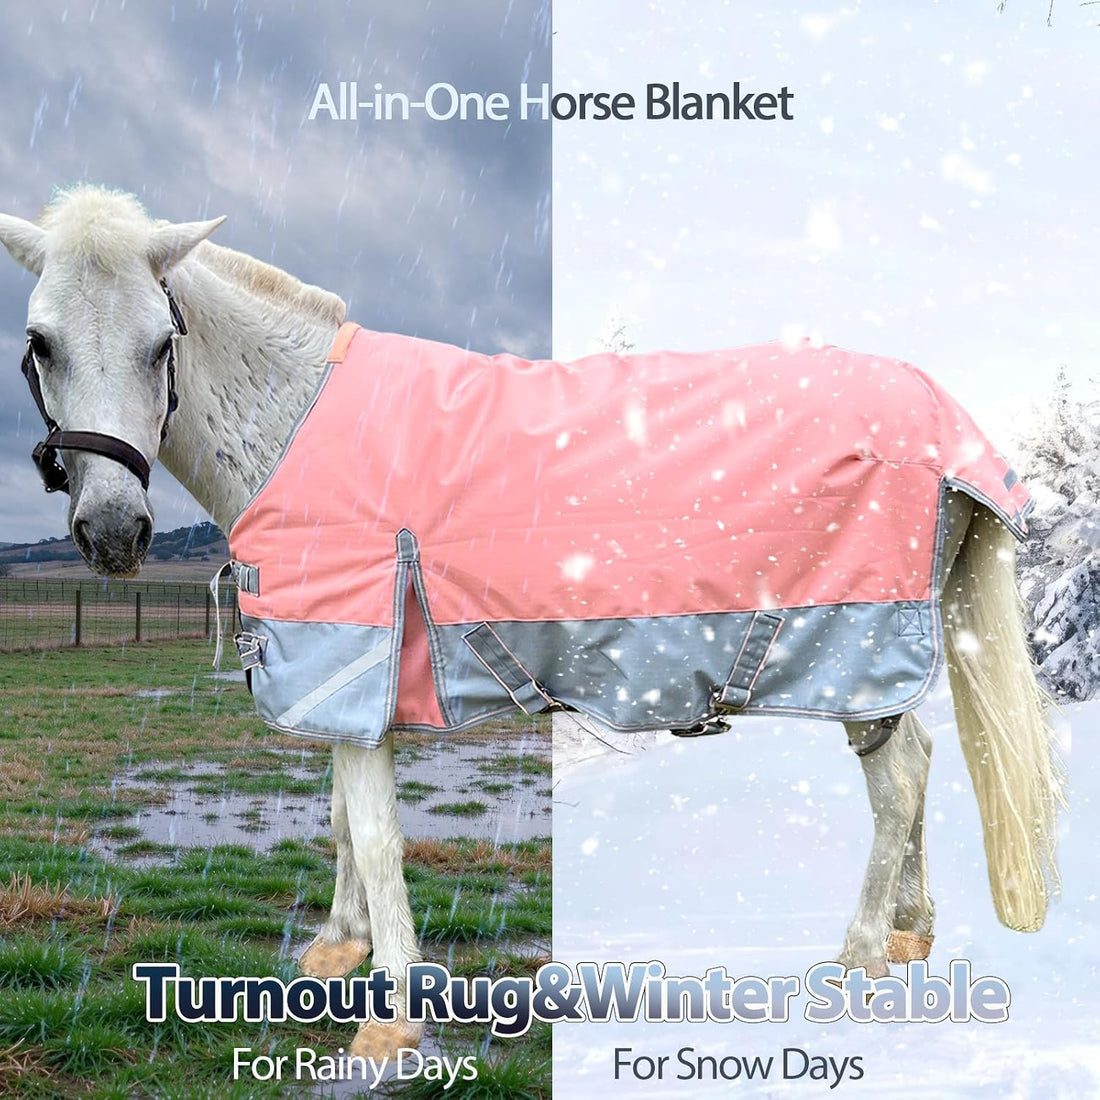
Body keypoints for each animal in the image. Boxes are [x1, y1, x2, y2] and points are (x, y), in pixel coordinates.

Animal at [0, 185, 1062, 1058]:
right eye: (42, 341)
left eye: (160, 341)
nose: (113, 532)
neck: (298, 421)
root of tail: (945, 420)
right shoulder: (341, 674)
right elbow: (341, 818)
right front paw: (335, 950)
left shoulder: (355, 651)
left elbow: (375, 832)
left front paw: (391, 1022)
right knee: (918, 763)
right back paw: (911, 933)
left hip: (855, 651)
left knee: (900, 783)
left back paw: (857, 957)